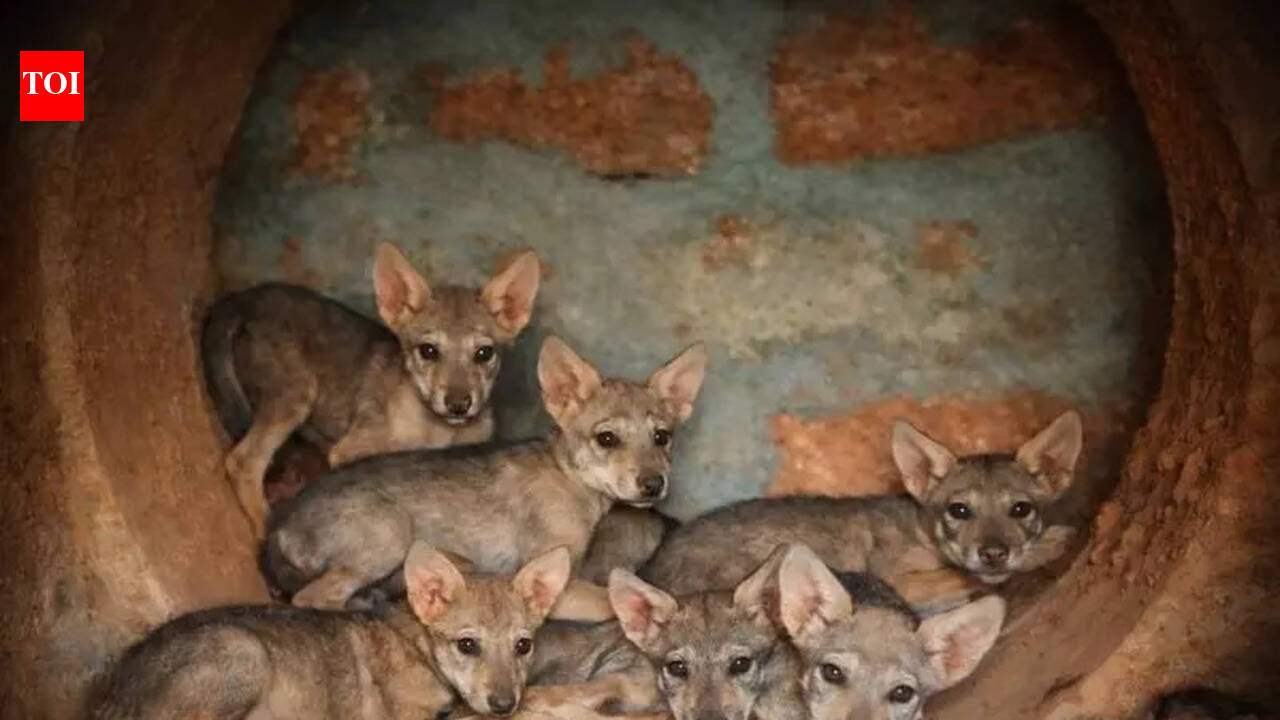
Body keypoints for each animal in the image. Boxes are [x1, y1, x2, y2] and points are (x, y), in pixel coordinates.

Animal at [202, 242, 541, 537]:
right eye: (428, 351)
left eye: (484, 353)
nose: (459, 404)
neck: (438, 432)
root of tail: (242, 299)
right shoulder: (350, 452)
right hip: (293, 398)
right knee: (243, 462)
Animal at [262, 335, 707, 619]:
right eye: (607, 438)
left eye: (662, 437)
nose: (654, 484)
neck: (570, 480)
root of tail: (279, 528)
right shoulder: (558, 584)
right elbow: (609, 603)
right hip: (388, 536)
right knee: (310, 598)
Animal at [641, 411, 1084, 608]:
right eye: (959, 511)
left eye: (1021, 509)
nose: (994, 553)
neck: (920, 530)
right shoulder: (899, 579)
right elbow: (965, 577)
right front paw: (1049, 546)